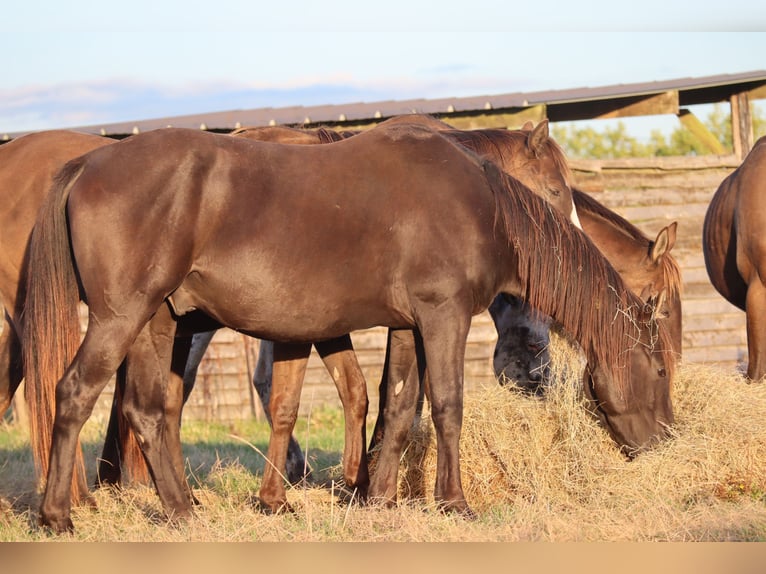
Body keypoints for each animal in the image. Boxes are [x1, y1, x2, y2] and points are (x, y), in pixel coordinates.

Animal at [22, 123, 675, 532]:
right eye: (661, 367)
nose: (667, 442)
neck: (480, 203)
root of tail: (87, 164)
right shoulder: (443, 317)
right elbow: (446, 406)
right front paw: (453, 503)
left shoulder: (411, 325)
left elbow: (400, 402)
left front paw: (378, 498)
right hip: (122, 319)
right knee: (74, 394)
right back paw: (59, 516)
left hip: (157, 322)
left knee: (149, 411)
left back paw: (183, 510)